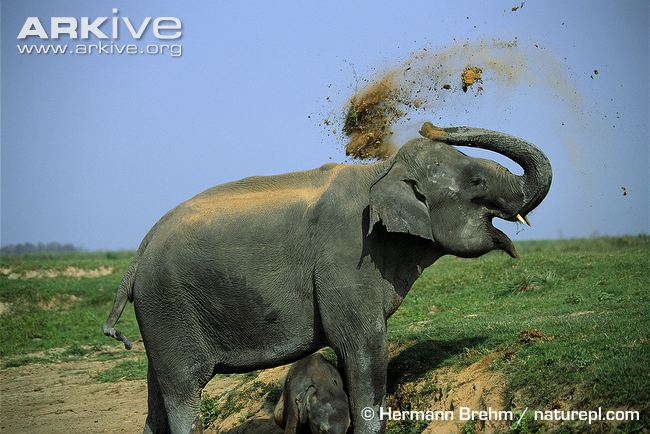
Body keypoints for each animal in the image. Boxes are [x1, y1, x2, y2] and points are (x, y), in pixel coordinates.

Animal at [103, 123, 552, 434]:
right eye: (477, 181)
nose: (429, 124)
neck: (381, 171)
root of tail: (138, 253)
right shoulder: (347, 259)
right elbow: (362, 347)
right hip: (168, 307)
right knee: (183, 393)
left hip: (161, 316)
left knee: (157, 399)